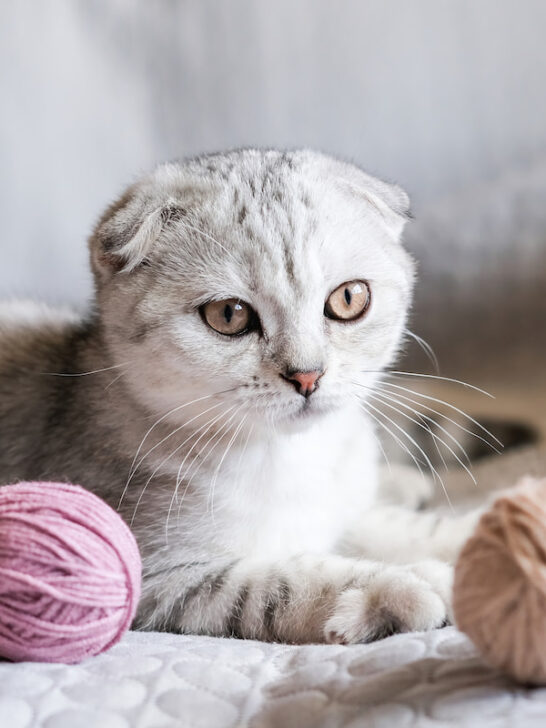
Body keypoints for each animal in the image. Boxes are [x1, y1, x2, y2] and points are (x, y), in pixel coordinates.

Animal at [0, 149, 476, 644]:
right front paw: (403, 586)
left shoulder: (346, 511)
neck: (293, 457)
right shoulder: (154, 575)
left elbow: (409, 528)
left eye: (349, 298)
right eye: (229, 314)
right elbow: (283, 583)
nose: (307, 375)